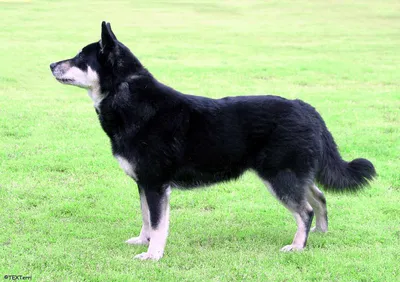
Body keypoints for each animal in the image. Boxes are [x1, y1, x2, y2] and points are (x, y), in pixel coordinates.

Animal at [50, 20, 376, 262]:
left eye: (80, 58)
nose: (51, 64)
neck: (128, 96)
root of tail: (307, 108)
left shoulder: (156, 184)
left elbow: (158, 223)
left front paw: (153, 255)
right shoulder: (143, 184)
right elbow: (146, 219)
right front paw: (142, 241)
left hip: (280, 177)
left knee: (305, 210)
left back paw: (298, 246)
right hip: (294, 174)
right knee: (319, 198)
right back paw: (320, 234)